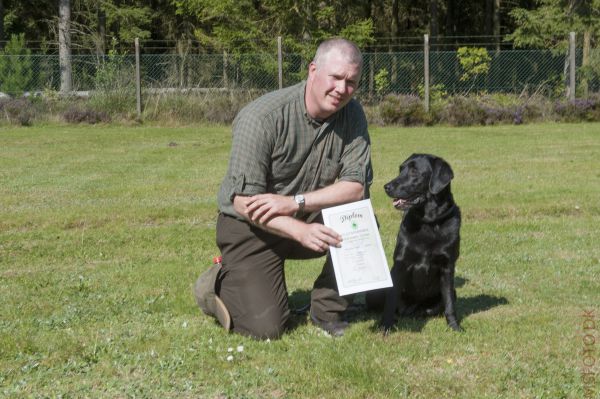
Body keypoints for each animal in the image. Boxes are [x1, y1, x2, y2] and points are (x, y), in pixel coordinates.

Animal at [368, 155, 462, 332]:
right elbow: (391, 301)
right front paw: (385, 326)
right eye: (400, 169)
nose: (387, 186)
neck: (429, 222)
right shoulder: (400, 264)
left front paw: (454, 326)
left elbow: (449, 304)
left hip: (451, 292)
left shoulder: (447, 266)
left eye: (414, 171)